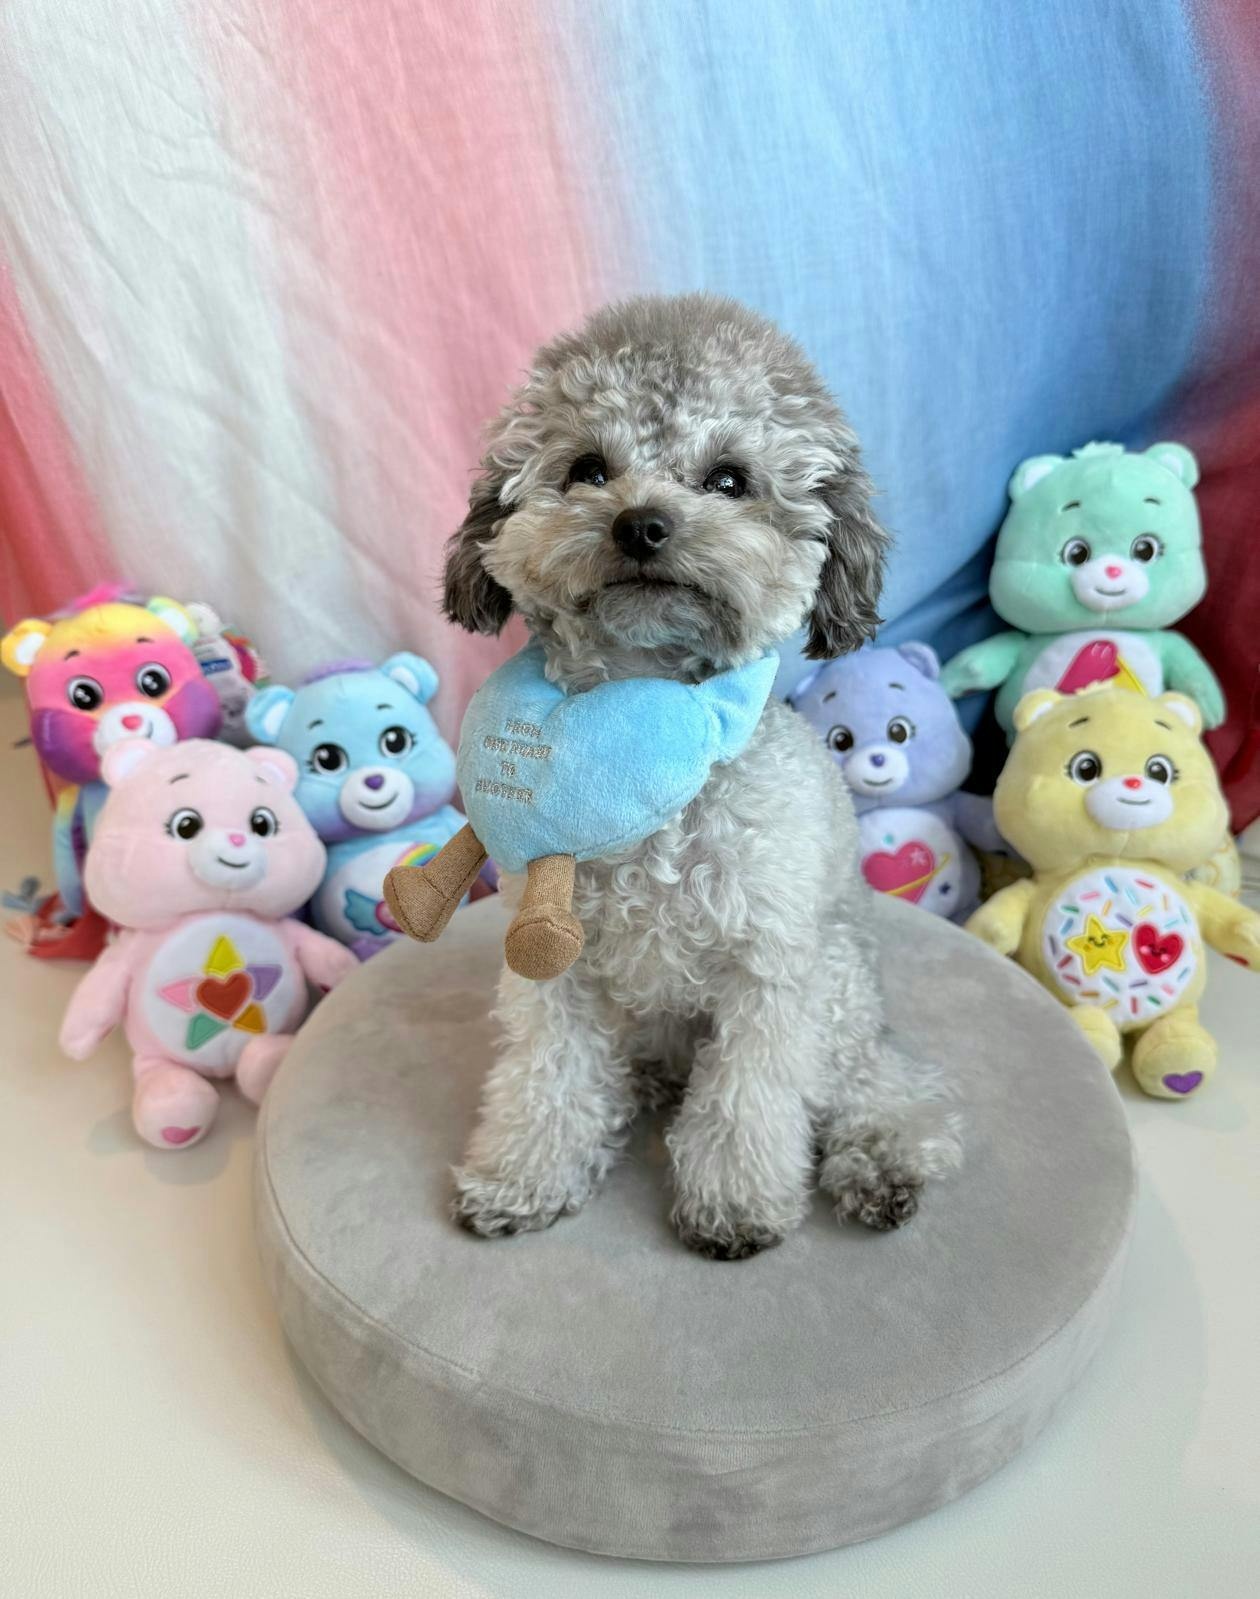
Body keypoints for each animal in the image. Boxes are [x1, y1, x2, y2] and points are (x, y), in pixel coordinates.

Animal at [441, 293, 960, 1259]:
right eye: (586, 469)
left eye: (728, 479)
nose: (641, 523)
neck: (643, 734)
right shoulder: (554, 968)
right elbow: (547, 1081)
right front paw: (524, 1178)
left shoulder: (768, 971)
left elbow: (749, 1100)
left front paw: (736, 1206)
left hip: (838, 987)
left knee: (885, 1090)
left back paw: (883, 1163)